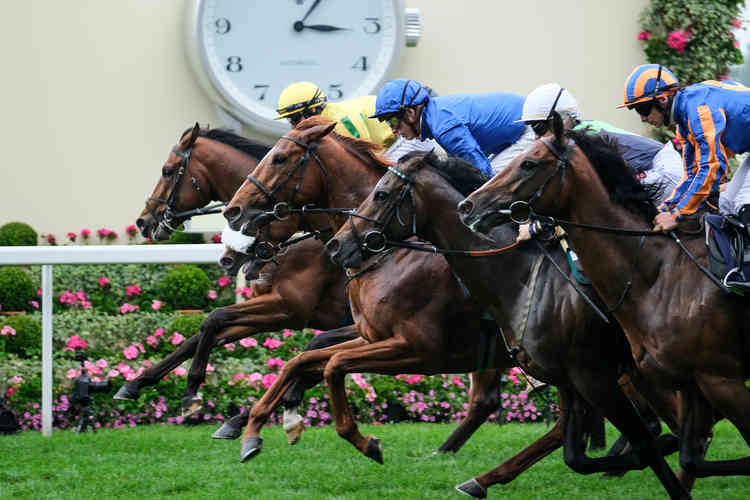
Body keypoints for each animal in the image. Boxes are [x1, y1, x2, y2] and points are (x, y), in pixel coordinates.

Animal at [123, 124, 508, 454]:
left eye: (168, 170)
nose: (144, 220)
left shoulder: (292, 308)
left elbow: (264, 335)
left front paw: (209, 401)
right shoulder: (287, 310)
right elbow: (211, 326)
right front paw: (138, 384)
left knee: (484, 397)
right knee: (486, 398)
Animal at [326, 153, 692, 500]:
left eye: (381, 194)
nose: (336, 245)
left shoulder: (420, 349)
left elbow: (335, 362)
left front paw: (366, 442)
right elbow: (325, 357)